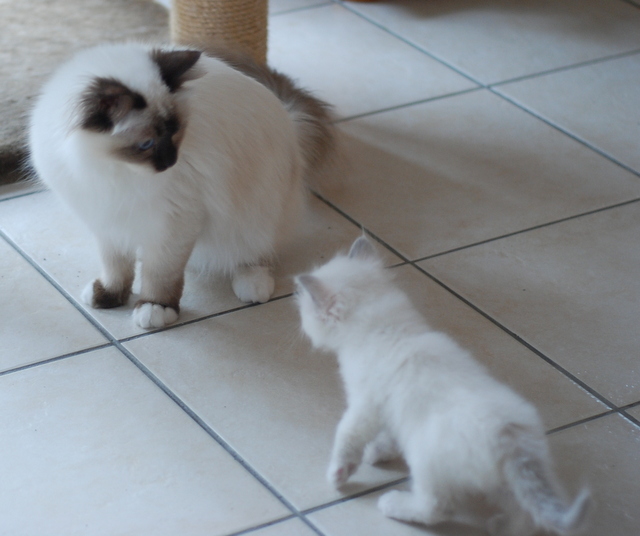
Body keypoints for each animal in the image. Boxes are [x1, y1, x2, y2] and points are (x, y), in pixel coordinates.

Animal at [29, 43, 332, 326]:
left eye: (175, 132)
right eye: (146, 144)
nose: (170, 162)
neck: (111, 170)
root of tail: (289, 122)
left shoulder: (173, 222)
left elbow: (160, 274)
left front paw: (155, 308)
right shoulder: (107, 218)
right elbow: (116, 266)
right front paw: (110, 295)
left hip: (256, 208)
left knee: (257, 250)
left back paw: (253, 286)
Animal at [296, 239, 592, 536]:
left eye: (305, 313)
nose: (302, 327)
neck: (382, 329)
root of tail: (511, 438)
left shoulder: (364, 406)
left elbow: (347, 436)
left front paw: (339, 473)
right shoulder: (393, 410)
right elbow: (389, 435)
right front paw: (377, 453)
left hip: (426, 460)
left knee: (437, 508)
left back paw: (394, 504)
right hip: (502, 482)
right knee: (526, 515)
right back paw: (500, 526)